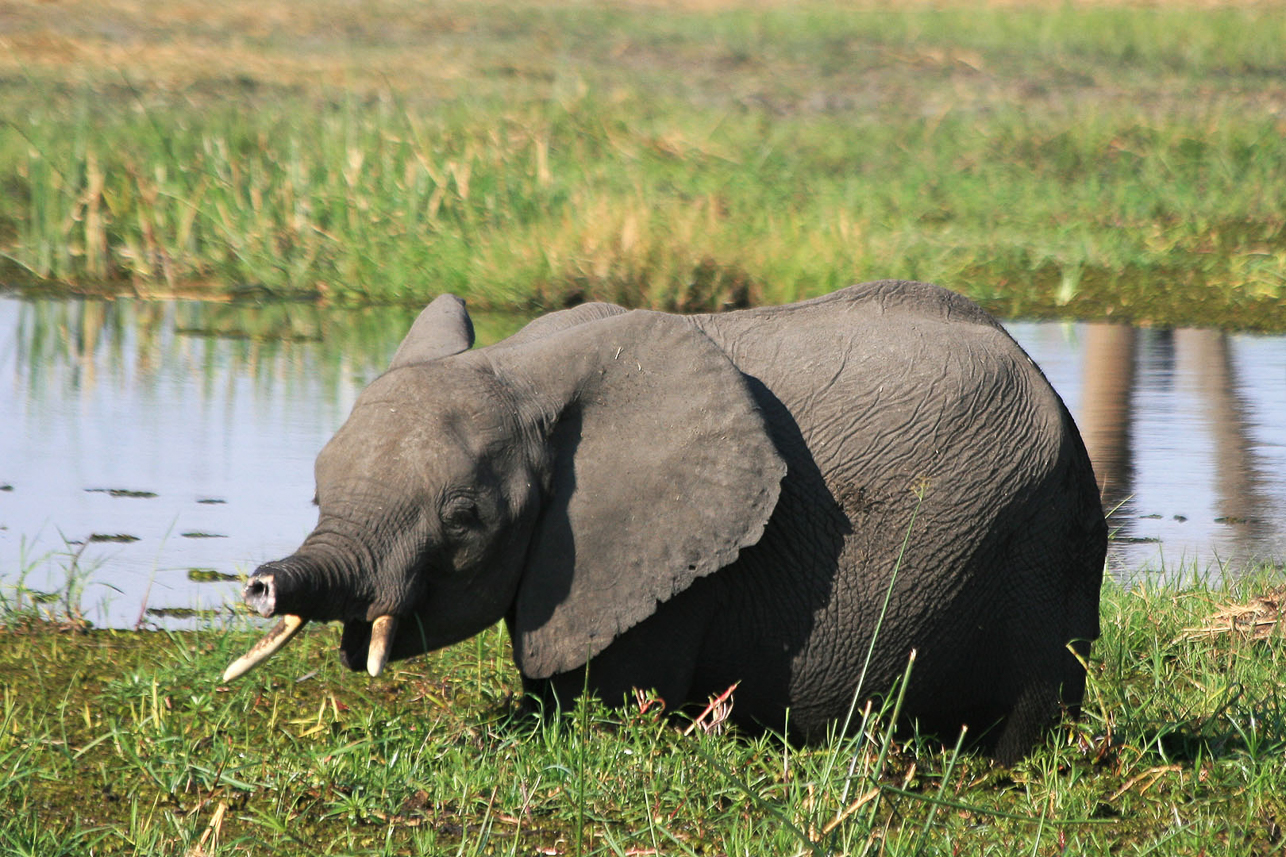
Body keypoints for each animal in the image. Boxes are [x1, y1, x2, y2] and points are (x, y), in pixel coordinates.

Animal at [223, 280, 1105, 761]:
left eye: (464, 516)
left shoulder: (674, 563)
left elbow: (605, 705)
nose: (260, 585)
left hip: (1040, 541)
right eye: (317, 490)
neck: (520, 364)